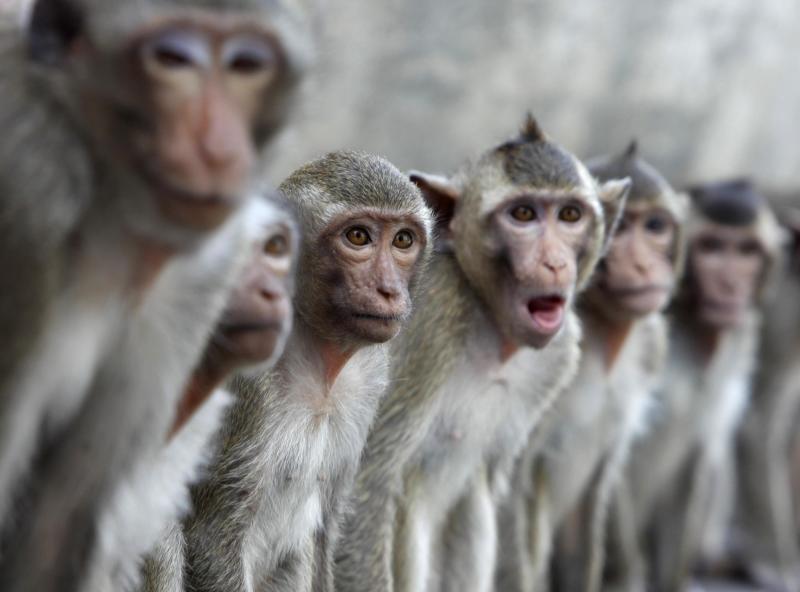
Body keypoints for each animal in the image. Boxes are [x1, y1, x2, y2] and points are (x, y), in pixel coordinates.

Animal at [173, 151, 432, 592]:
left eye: (402, 240)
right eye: (358, 237)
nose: (388, 291)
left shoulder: (370, 377)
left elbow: (325, 529)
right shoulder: (245, 379)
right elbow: (212, 536)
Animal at [334, 114, 631, 592]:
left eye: (570, 215)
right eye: (523, 214)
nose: (554, 263)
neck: (490, 324)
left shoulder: (557, 355)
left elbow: (502, 488)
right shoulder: (430, 316)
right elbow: (367, 487)